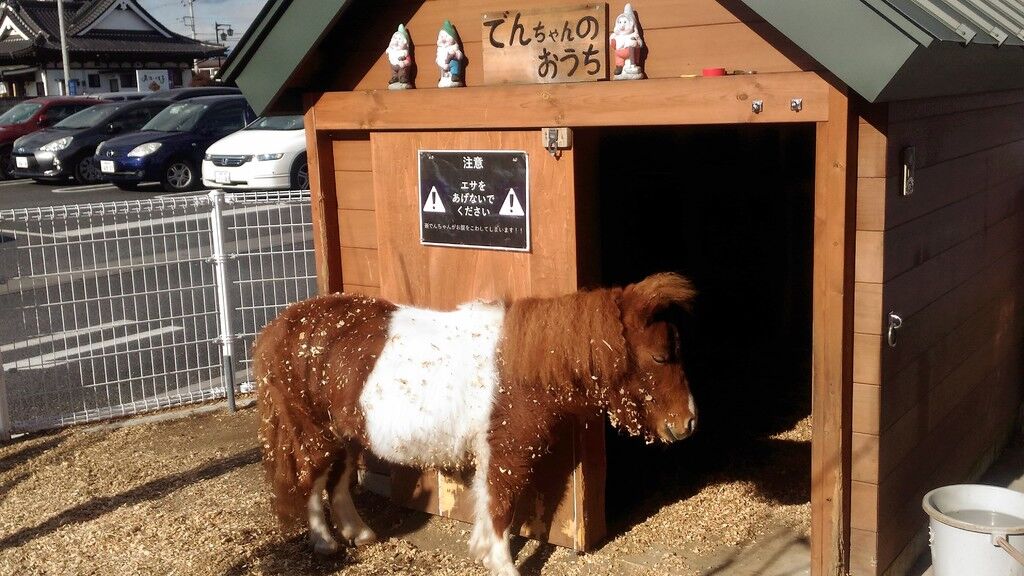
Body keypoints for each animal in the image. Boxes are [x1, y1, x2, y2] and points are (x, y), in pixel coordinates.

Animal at [254, 270, 700, 569]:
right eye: (660, 356)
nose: (688, 423)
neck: (520, 367)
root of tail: (280, 326)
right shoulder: (506, 452)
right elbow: (501, 506)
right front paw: (502, 563)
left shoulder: (495, 454)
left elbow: (490, 504)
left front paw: (485, 553)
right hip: (312, 430)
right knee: (312, 479)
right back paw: (324, 542)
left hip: (345, 431)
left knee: (337, 481)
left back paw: (358, 534)